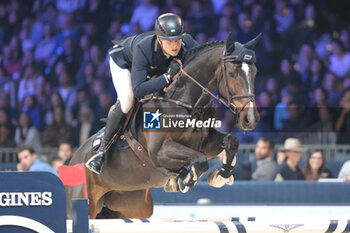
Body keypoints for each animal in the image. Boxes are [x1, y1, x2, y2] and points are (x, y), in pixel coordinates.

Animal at [67, 32, 262, 218]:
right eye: (232, 74)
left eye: (255, 72)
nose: (250, 118)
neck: (184, 100)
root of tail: (72, 159)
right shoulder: (159, 151)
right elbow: (199, 161)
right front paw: (184, 180)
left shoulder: (204, 143)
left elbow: (231, 141)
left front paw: (220, 176)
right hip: (85, 200)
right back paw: (97, 160)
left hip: (133, 206)